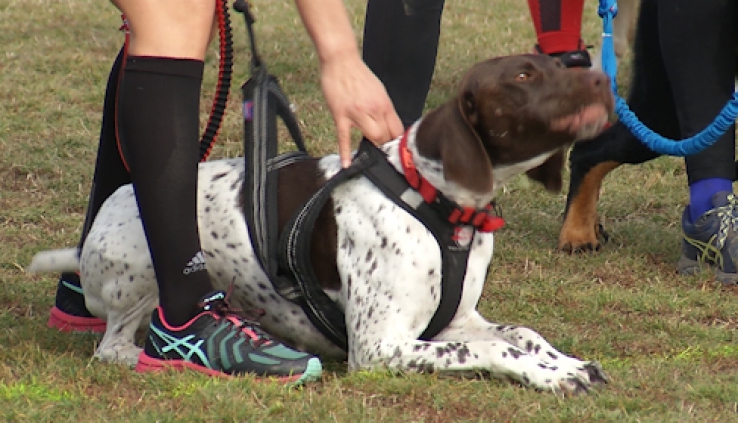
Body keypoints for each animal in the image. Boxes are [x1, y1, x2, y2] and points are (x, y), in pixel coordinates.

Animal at [31, 54, 612, 396]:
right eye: (523, 76)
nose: (604, 77)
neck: (434, 200)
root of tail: (90, 235)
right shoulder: (381, 347)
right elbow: (495, 348)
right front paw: (551, 374)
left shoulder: (451, 322)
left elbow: (523, 334)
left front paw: (566, 364)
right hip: (144, 268)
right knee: (114, 346)